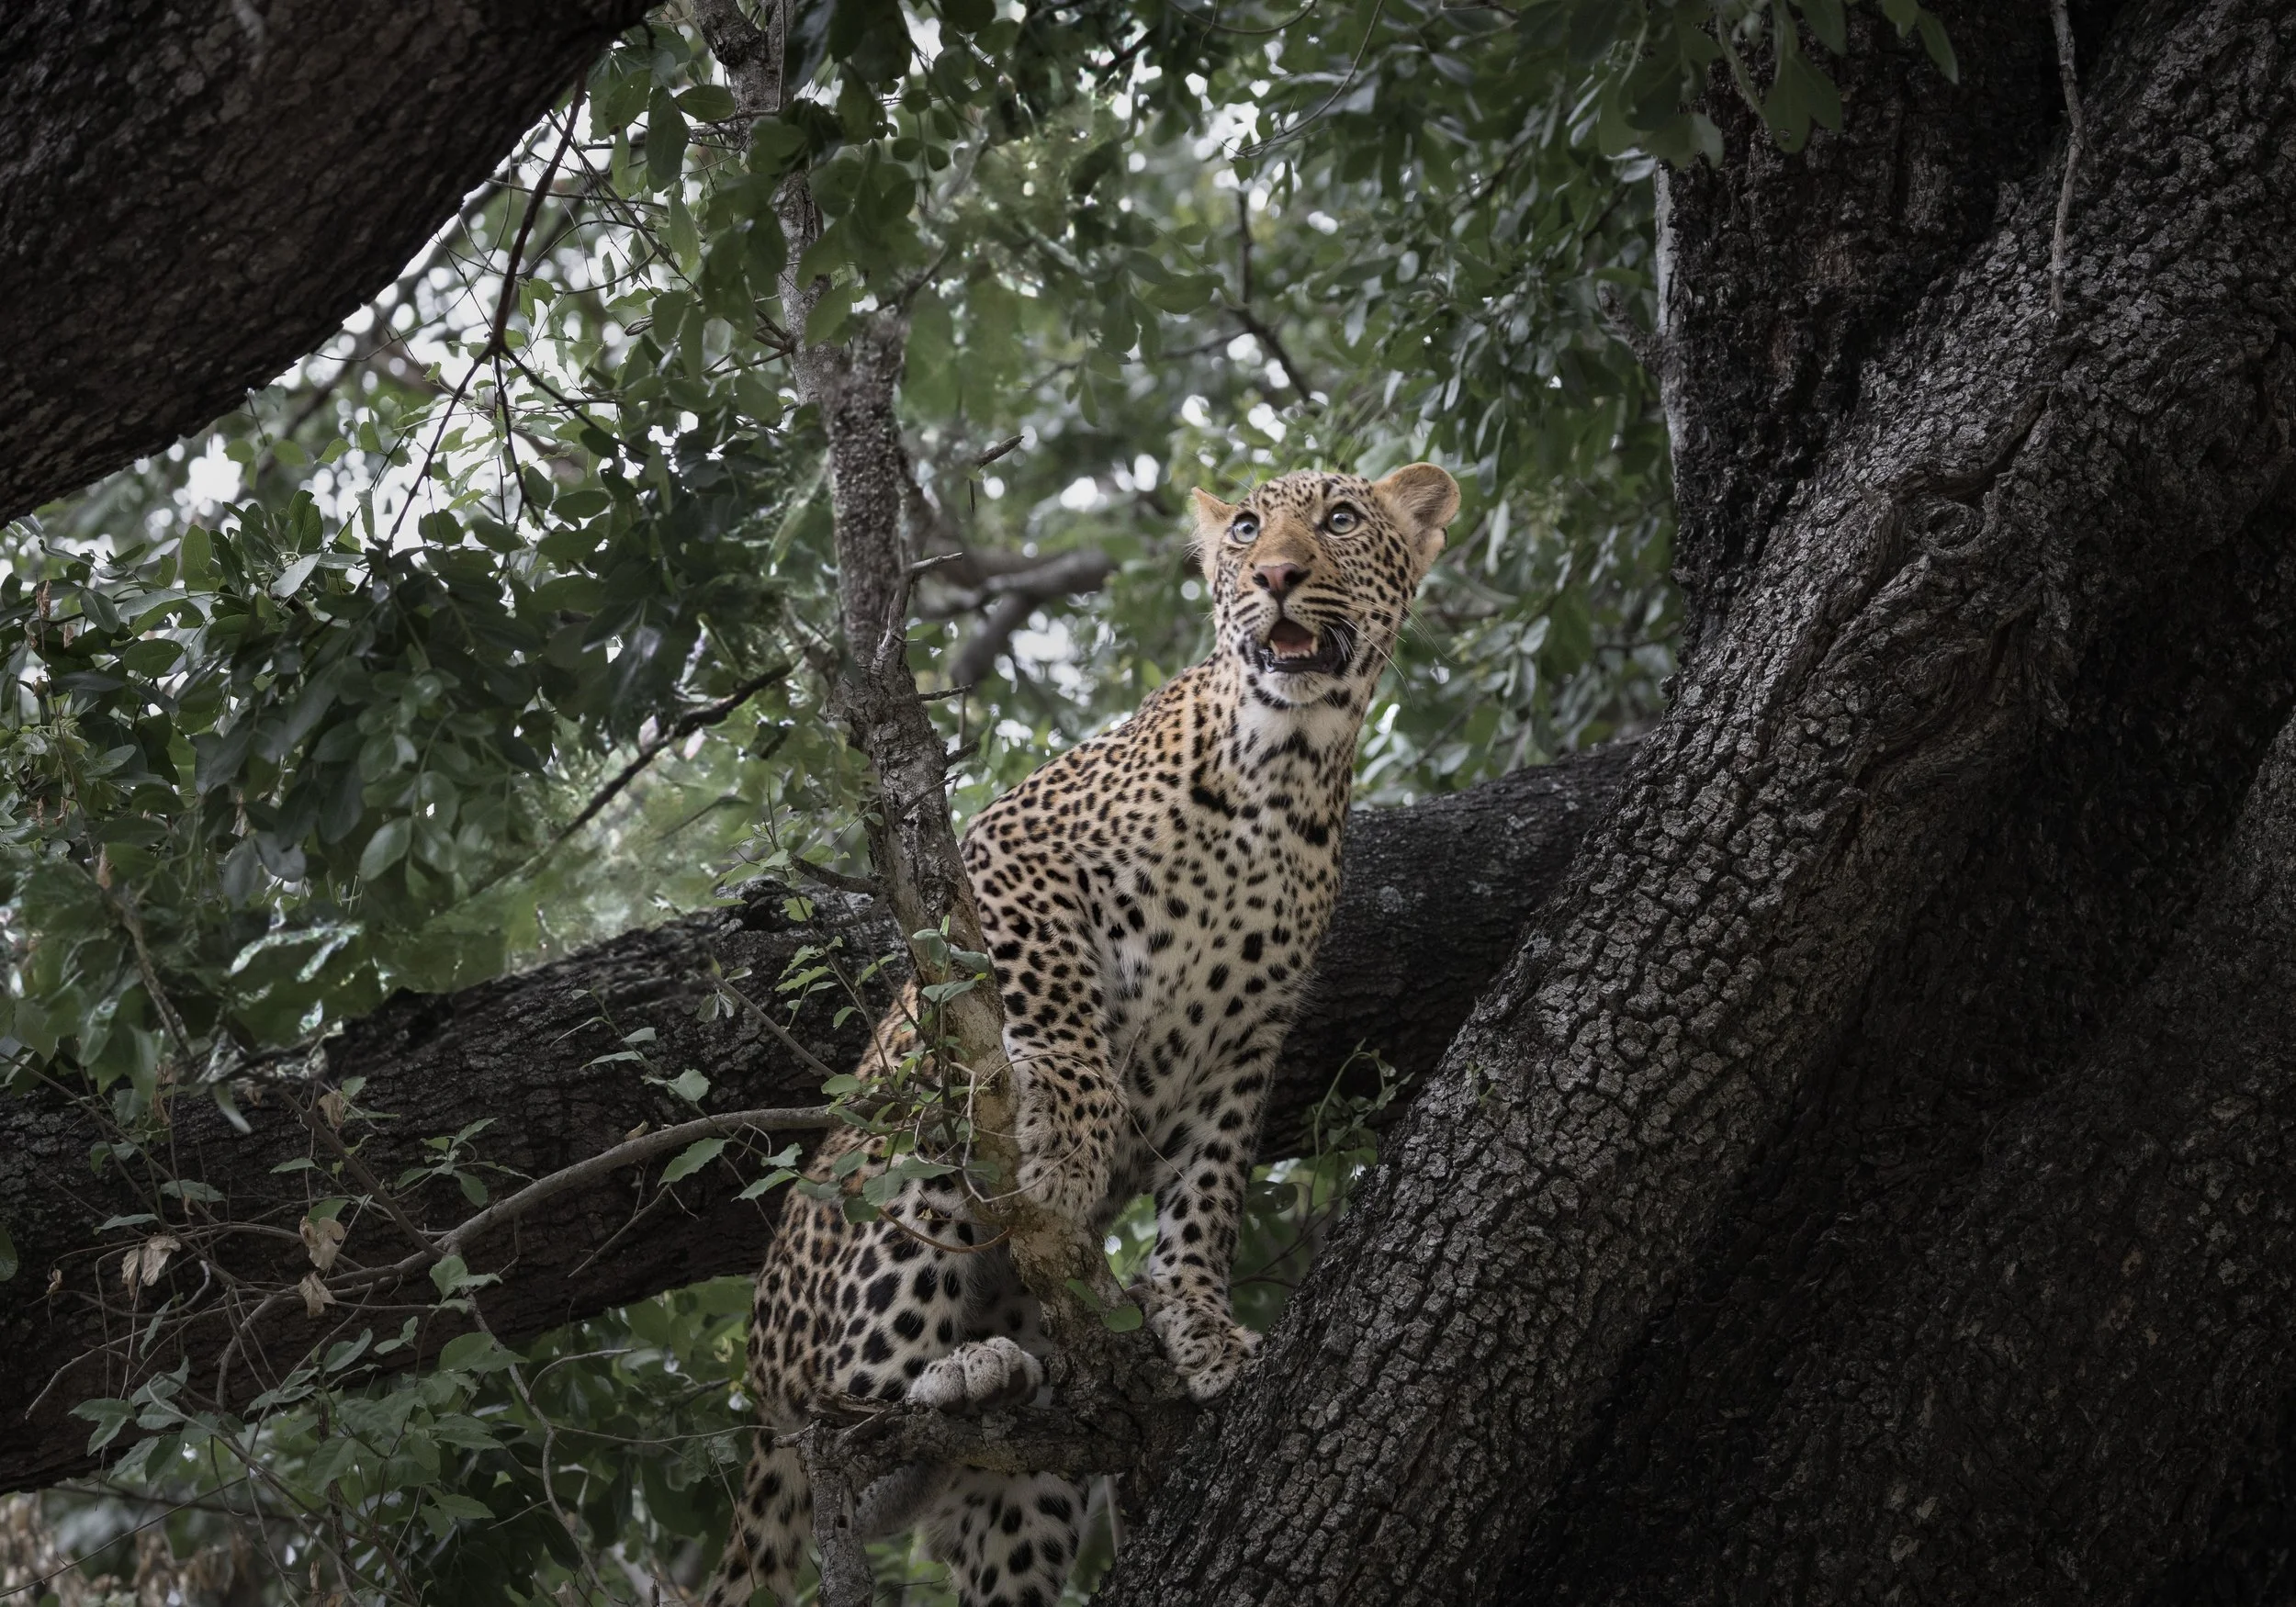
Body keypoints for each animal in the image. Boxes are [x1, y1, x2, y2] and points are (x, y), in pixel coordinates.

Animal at [702, 462, 1460, 1607]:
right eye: (1247, 528)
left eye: (1337, 521)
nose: (1277, 575)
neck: (1286, 764)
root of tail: (755, 1380)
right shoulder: (1011, 851)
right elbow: (1054, 1002)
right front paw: (1069, 1128)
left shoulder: (1248, 1036)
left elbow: (1208, 1188)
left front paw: (1196, 1320)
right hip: (902, 1166)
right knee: (844, 1435)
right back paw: (944, 1385)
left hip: (1025, 1501)